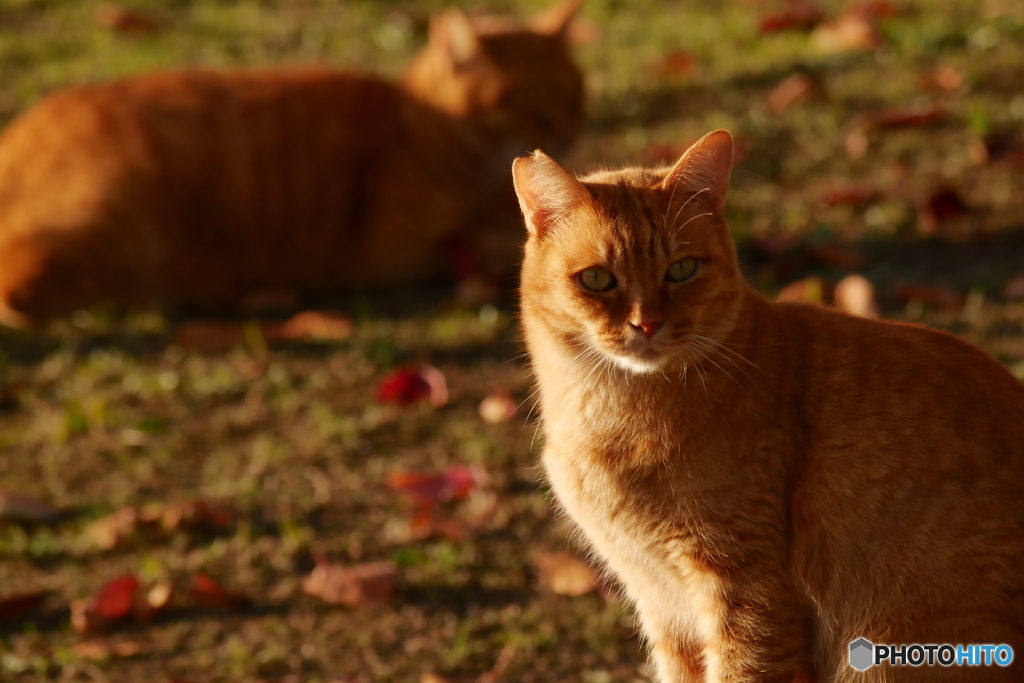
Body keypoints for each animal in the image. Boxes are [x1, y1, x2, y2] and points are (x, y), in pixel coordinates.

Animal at [0, 0, 585, 327]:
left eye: (571, 95)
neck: (419, 122)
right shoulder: (393, 249)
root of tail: (15, 135)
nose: (561, 130)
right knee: (21, 289)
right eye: (520, 103)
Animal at [516, 129, 1024, 683]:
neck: (608, 414)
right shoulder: (663, 606)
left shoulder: (748, 593)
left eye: (682, 270)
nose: (646, 324)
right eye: (597, 280)